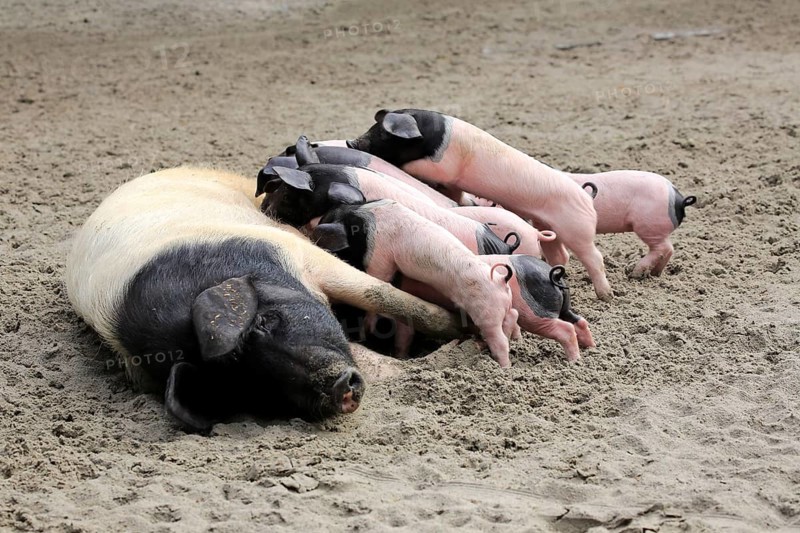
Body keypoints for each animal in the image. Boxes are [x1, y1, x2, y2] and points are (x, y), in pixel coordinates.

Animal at [66, 167, 463, 431]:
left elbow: (382, 294)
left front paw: (456, 329)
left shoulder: (292, 250)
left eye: (266, 320)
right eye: (247, 381)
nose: (338, 387)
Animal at [311, 200, 520, 367]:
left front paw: (367, 331)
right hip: (501, 308)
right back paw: (517, 340)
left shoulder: (380, 254)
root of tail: (501, 281)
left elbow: (379, 276)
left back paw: (505, 367)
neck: (362, 217)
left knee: (499, 338)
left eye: (328, 218)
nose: (313, 234)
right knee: (513, 316)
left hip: (487, 313)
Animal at [346, 108, 614, 301]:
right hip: (548, 225)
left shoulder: (443, 165)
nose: (351, 142)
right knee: (560, 253)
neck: (432, 136)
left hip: (577, 228)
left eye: (384, 134)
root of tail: (586, 198)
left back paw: (606, 296)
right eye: (373, 127)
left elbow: (418, 167)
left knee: (594, 256)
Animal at [566, 170, 697, 278]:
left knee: (663, 248)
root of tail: (680, 200)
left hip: (649, 226)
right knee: (669, 250)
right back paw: (655, 274)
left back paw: (635, 274)